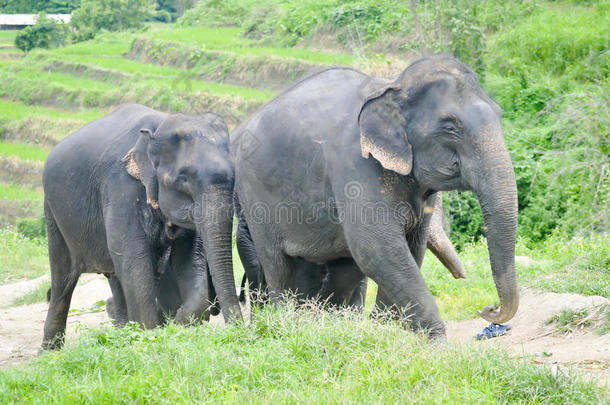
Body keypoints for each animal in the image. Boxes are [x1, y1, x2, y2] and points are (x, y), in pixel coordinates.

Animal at [39, 103, 240, 348]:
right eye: (183, 179)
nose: (240, 328)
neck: (158, 127)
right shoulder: (120, 186)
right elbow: (133, 256)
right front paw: (153, 336)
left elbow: (190, 256)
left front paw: (176, 325)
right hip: (53, 214)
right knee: (63, 281)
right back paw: (49, 352)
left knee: (117, 276)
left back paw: (123, 334)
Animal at [230, 55, 516, 336]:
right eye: (450, 127)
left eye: (500, 115)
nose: (488, 309)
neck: (392, 87)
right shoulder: (354, 165)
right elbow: (376, 248)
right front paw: (434, 339)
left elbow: (411, 247)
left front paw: (387, 329)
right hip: (255, 197)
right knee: (279, 265)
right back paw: (288, 323)